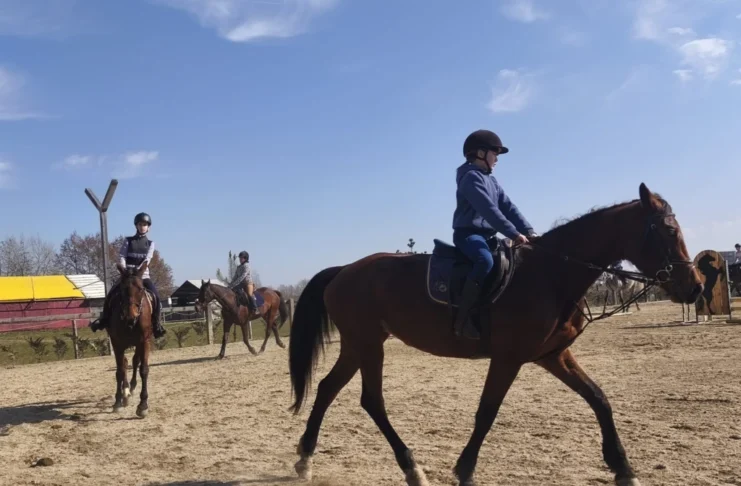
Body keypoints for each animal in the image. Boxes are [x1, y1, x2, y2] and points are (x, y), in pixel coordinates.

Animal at [107, 261, 155, 418]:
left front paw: (143, 405)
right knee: (125, 364)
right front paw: (118, 401)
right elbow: (120, 371)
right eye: (122, 290)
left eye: (141, 289)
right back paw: (125, 393)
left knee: (135, 362)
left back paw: (131, 389)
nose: (131, 316)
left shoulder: (144, 342)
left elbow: (143, 369)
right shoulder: (117, 343)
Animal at [287, 183, 703, 486]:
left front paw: (623, 468)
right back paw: (410, 467)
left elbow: (599, 399)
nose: (696, 286)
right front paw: (465, 470)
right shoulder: (508, 358)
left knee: (328, 388)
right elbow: (487, 411)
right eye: (669, 230)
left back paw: (306, 458)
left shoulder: (553, 356)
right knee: (372, 401)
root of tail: (344, 270)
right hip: (369, 345)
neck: (551, 274)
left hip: (358, 345)